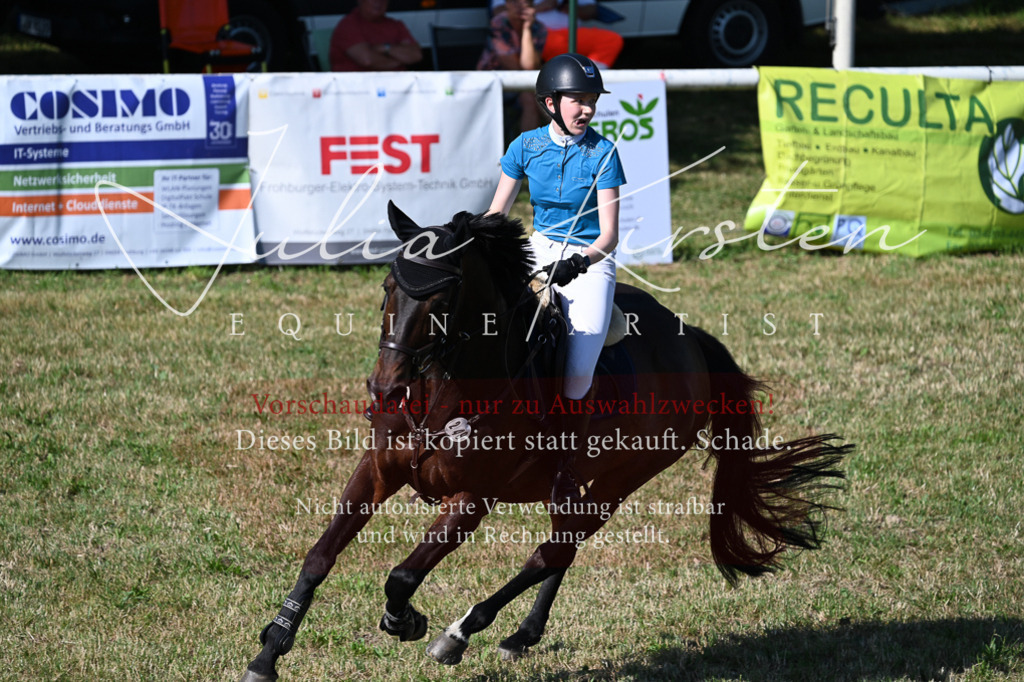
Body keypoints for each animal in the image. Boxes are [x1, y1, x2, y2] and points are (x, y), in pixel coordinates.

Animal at [239, 203, 851, 681]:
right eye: (389, 287)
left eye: (442, 302)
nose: (385, 389)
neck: (444, 391)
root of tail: (692, 341)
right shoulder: (377, 470)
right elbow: (320, 555)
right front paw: (269, 652)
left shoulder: (472, 500)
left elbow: (403, 574)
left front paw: (405, 620)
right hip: (574, 483)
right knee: (563, 546)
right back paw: (519, 635)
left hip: (622, 477)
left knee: (556, 549)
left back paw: (461, 633)